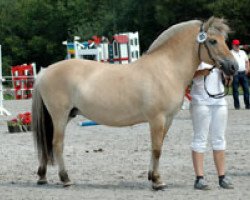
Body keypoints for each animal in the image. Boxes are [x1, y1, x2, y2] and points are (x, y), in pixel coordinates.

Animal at [32, 16, 238, 190]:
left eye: (224, 39)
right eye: (213, 41)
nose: (233, 67)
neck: (167, 69)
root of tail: (45, 71)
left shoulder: (167, 120)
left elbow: (157, 148)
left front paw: (152, 176)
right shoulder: (157, 119)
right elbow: (157, 149)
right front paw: (157, 182)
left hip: (65, 116)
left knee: (48, 146)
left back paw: (42, 177)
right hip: (59, 116)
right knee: (57, 144)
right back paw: (65, 179)